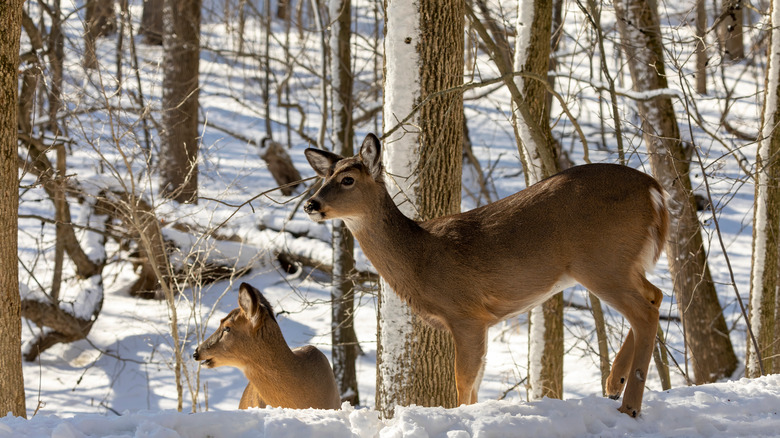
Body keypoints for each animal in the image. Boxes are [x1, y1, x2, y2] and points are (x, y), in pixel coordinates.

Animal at [304, 133, 672, 418]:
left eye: (348, 180)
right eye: (323, 179)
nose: (310, 204)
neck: (421, 257)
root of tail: (655, 190)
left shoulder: (466, 313)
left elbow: (464, 381)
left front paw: (462, 415)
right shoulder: (479, 320)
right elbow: (475, 381)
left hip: (601, 261)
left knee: (644, 312)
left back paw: (630, 406)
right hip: (622, 263)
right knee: (655, 296)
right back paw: (613, 385)